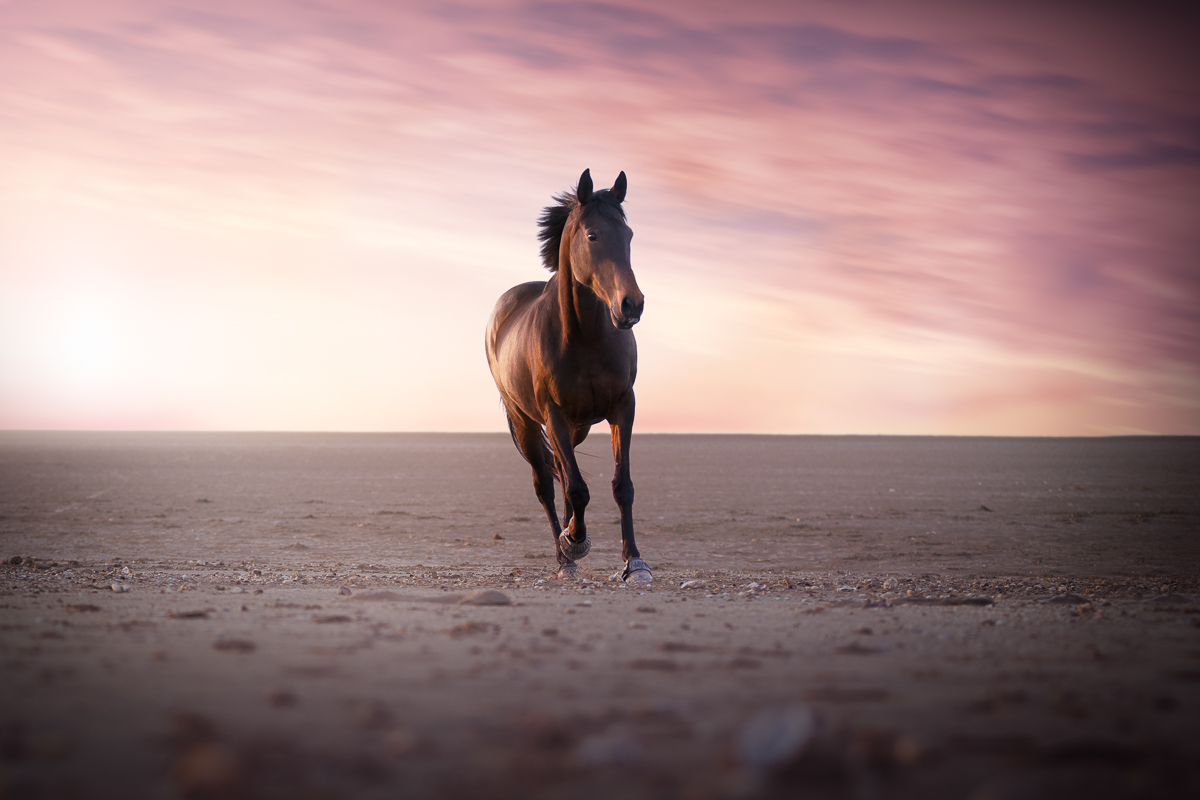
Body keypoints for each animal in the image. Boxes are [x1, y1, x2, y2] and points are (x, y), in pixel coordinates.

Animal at [485, 169, 651, 584]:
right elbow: (576, 489)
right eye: (592, 235)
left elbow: (622, 486)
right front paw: (574, 542)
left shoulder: (623, 407)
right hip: (526, 421)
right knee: (546, 483)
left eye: (629, 235)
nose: (632, 304)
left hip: (579, 426)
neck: (586, 337)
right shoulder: (553, 415)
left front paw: (635, 563)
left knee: (562, 471)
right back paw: (565, 556)